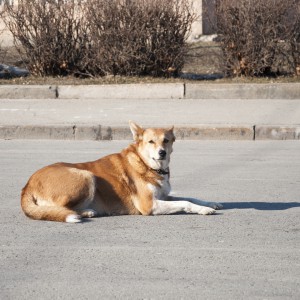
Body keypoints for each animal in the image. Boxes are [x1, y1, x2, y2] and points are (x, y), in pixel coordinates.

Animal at [21, 120, 221, 223]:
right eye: (150, 141)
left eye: (166, 140)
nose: (162, 153)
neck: (146, 165)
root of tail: (27, 185)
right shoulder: (150, 205)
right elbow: (185, 202)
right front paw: (203, 210)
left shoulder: (163, 196)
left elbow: (190, 197)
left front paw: (210, 203)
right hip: (86, 176)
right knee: (60, 208)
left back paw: (87, 212)